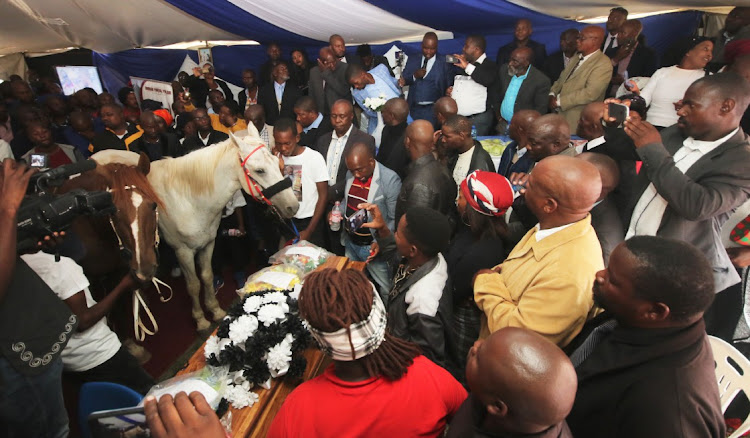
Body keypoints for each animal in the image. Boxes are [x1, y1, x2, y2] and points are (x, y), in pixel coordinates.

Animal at [95, 132, 302, 330]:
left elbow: (207, 276)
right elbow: (194, 284)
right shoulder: (183, 251)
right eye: (260, 170)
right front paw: (200, 319)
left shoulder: (208, 243)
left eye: (276, 161)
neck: (189, 199)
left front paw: (215, 310)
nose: (293, 206)